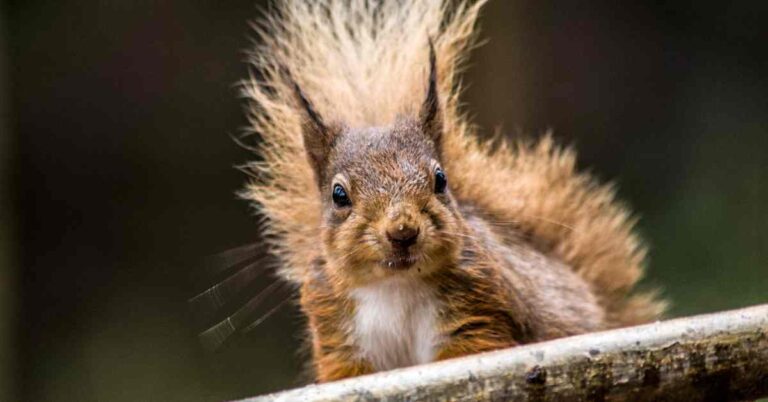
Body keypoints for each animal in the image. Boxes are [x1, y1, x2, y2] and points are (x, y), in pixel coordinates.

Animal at [226, 0, 666, 382]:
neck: (395, 287)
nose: (403, 232)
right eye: (339, 195)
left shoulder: (478, 314)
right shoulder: (339, 337)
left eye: (440, 179)